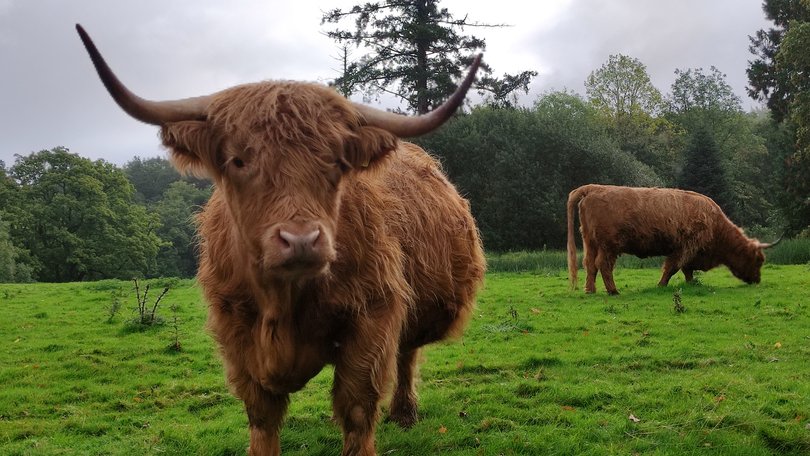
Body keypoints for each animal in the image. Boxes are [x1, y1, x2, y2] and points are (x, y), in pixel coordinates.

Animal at [76, 25, 485, 455]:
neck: (283, 302)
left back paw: (404, 412)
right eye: (239, 160)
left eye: (336, 161)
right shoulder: (236, 329)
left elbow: (357, 407)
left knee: (407, 353)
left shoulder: (373, 314)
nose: (301, 240)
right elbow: (262, 414)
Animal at [566, 184, 778, 295]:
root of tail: (594, 188)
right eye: (758, 260)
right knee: (603, 265)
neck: (716, 225)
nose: (757, 280)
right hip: (609, 246)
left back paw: (590, 290)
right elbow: (673, 268)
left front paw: (690, 284)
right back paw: (613, 291)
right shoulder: (686, 248)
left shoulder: (689, 251)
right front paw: (661, 285)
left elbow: (687, 270)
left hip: (590, 242)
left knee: (590, 264)